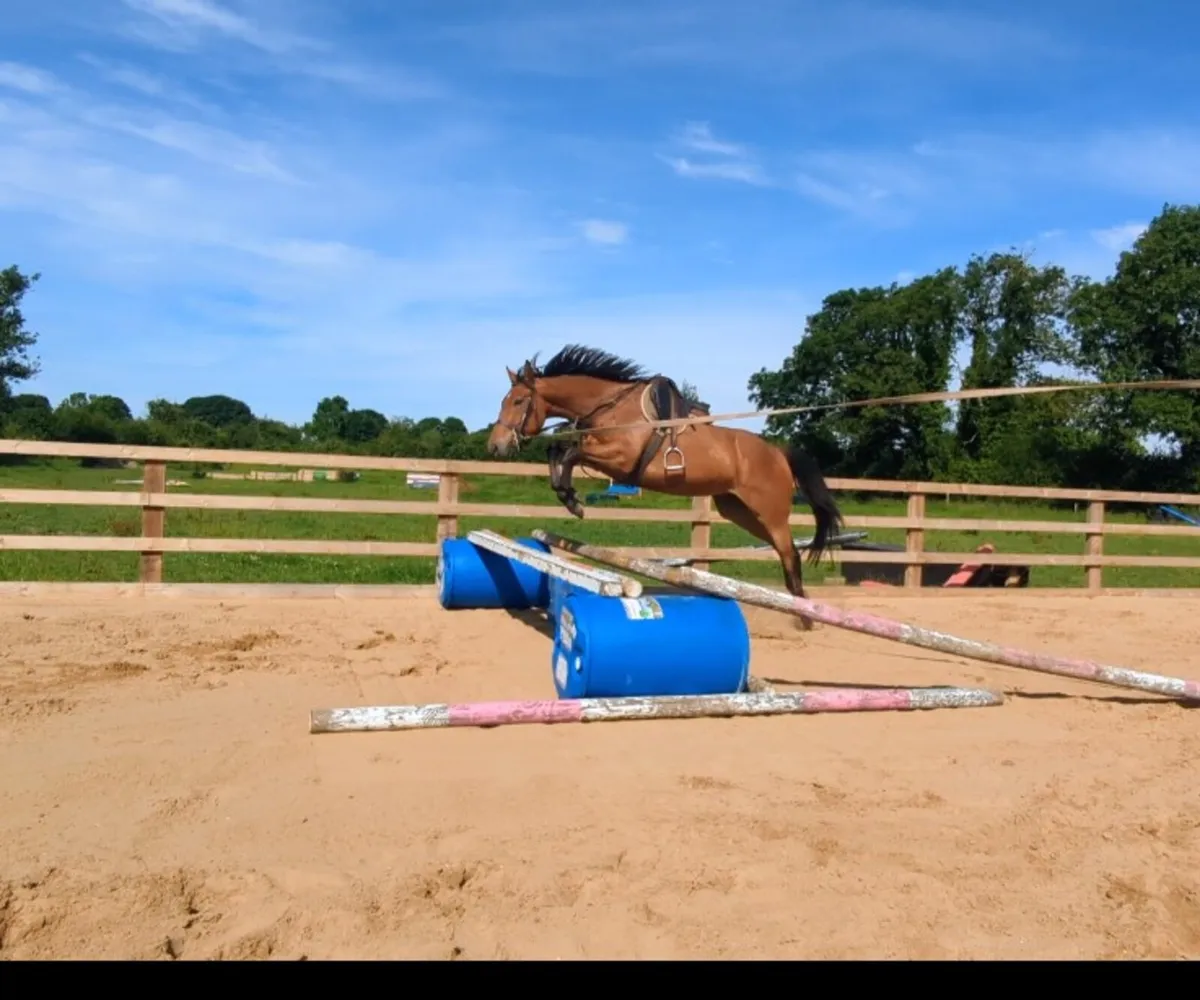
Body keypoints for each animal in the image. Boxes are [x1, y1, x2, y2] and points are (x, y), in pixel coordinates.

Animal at [485, 345, 845, 630]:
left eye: (518, 401)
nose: (495, 447)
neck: (610, 406)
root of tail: (778, 452)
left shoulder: (620, 457)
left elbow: (570, 452)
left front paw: (571, 499)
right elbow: (558, 450)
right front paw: (567, 496)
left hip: (770, 512)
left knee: (790, 554)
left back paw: (805, 617)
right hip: (739, 511)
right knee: (784, 551)